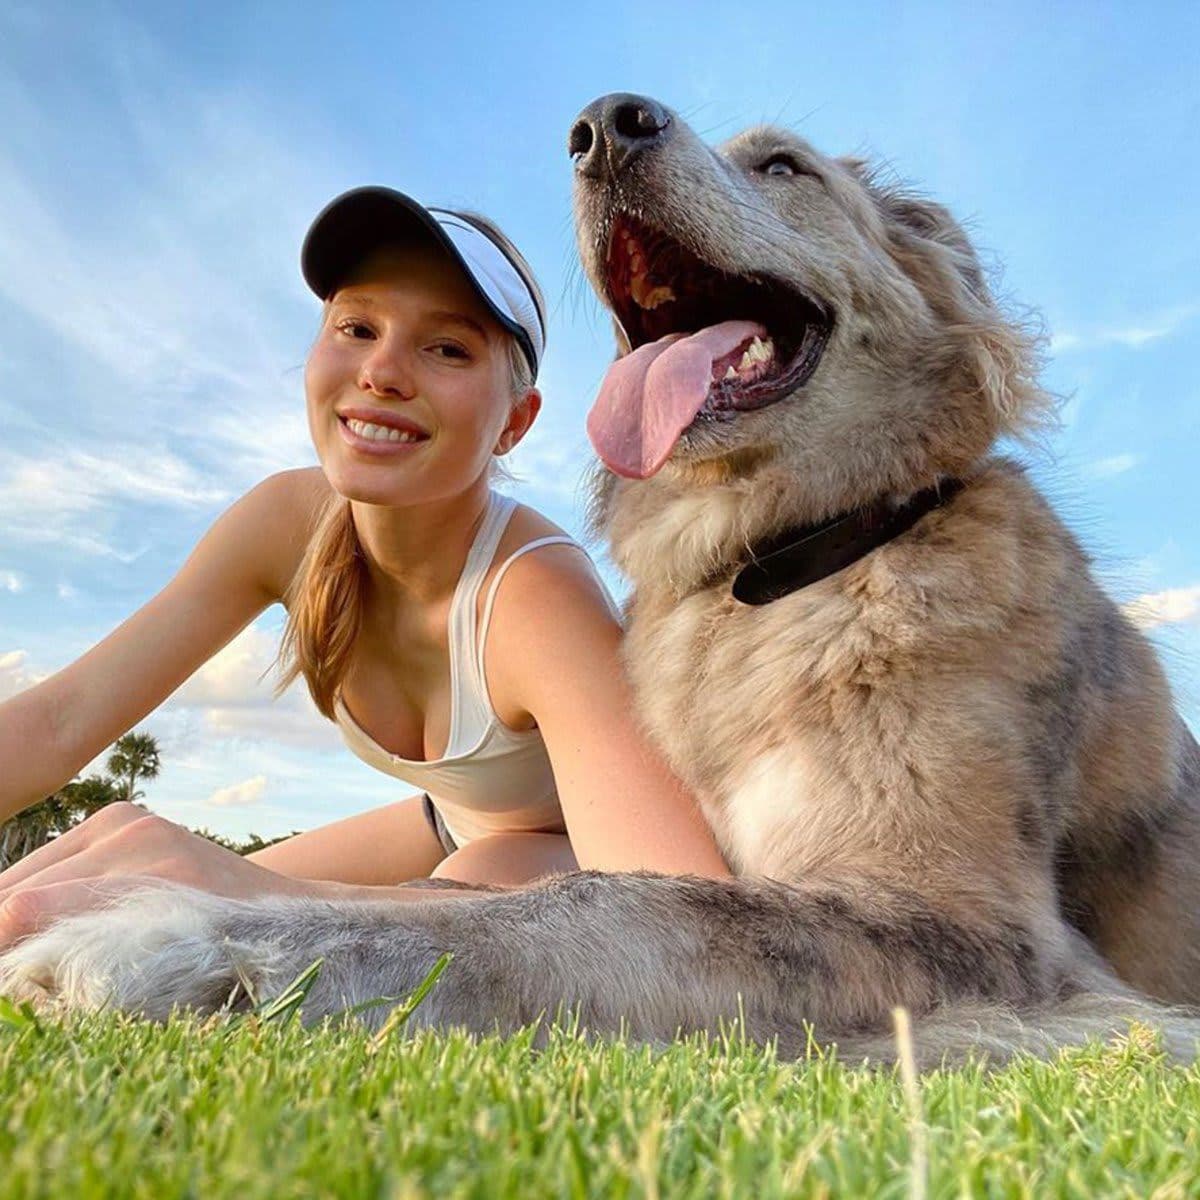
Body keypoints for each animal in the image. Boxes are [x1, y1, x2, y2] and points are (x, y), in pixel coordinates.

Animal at [2, 96, 1200, 1070]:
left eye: (784, 167)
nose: (602, 126)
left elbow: (602, 907)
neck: (785, 561)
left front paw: (187, 936)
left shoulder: (971, 929)